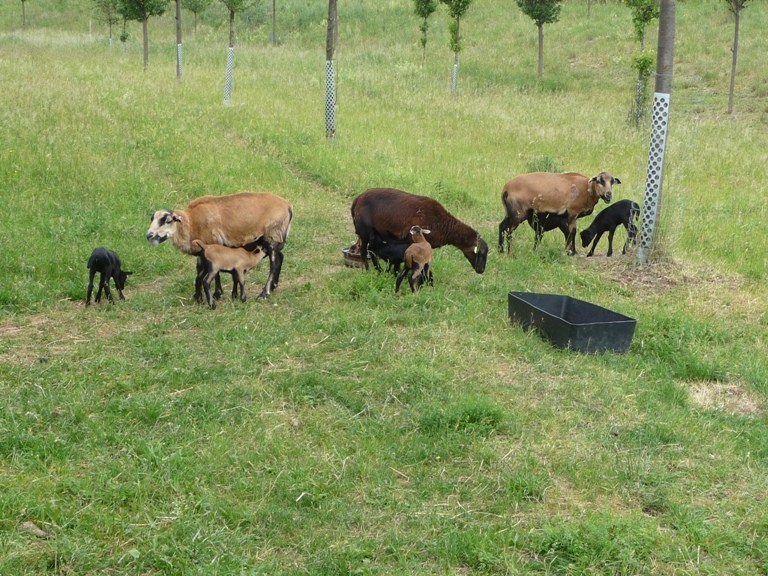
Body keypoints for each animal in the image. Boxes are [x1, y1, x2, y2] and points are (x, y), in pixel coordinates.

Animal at [146, 191, 292, 300]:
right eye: (152, 219)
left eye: (168, 220)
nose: (149, 235)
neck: (190, 223)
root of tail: (288, 205)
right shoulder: (202, 251)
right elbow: (199, 270)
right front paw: (198, 296)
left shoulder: (213, 244)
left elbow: (215, 272)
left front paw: (217, 294)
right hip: (271, 239)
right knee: (281, 257)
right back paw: (273, 286)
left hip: (272, 235)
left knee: (274, 264)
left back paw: (264, 293)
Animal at [352, 186, 488, 274]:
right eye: (481, 254)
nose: (481, 270)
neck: (444, 225)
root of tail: (357, 199)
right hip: (364, 232)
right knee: (364, 251)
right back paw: (367, 270)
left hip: (375, 234)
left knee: (372, 250)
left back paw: (378, 270)